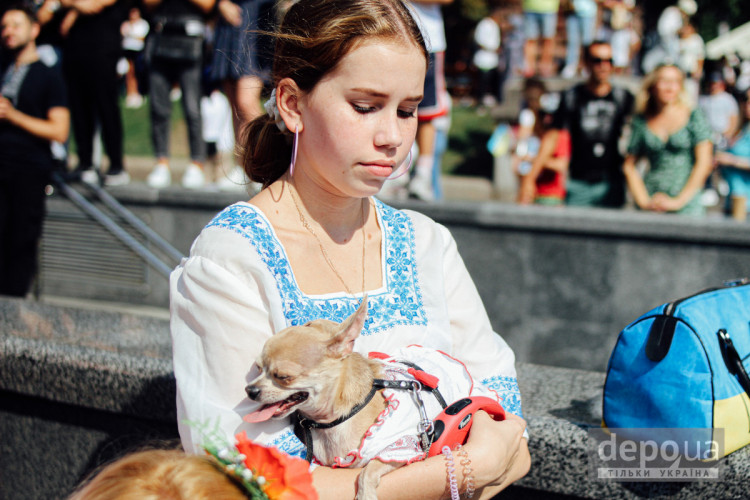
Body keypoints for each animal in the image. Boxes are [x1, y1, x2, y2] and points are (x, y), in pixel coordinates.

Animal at [244, 298, 496, 498]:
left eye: (283, 377)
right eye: (258, 368)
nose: (250, 390)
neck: (335, 423)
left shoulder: (402, 450)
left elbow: (368, 470)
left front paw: (365, 495)